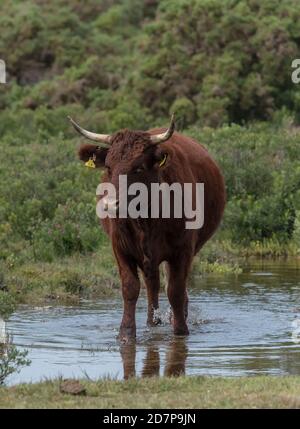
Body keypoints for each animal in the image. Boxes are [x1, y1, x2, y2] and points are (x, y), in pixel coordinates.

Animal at [69, 115, 226, 340]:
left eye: (138, 168)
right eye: (108, 167)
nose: (111, 204)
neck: (145, 219)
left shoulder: (183, 250)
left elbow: (176, 290)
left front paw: (180, 330)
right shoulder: (120, 249)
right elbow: (130, 288)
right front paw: (126, 333)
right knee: (153, 284)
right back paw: (153, 322)